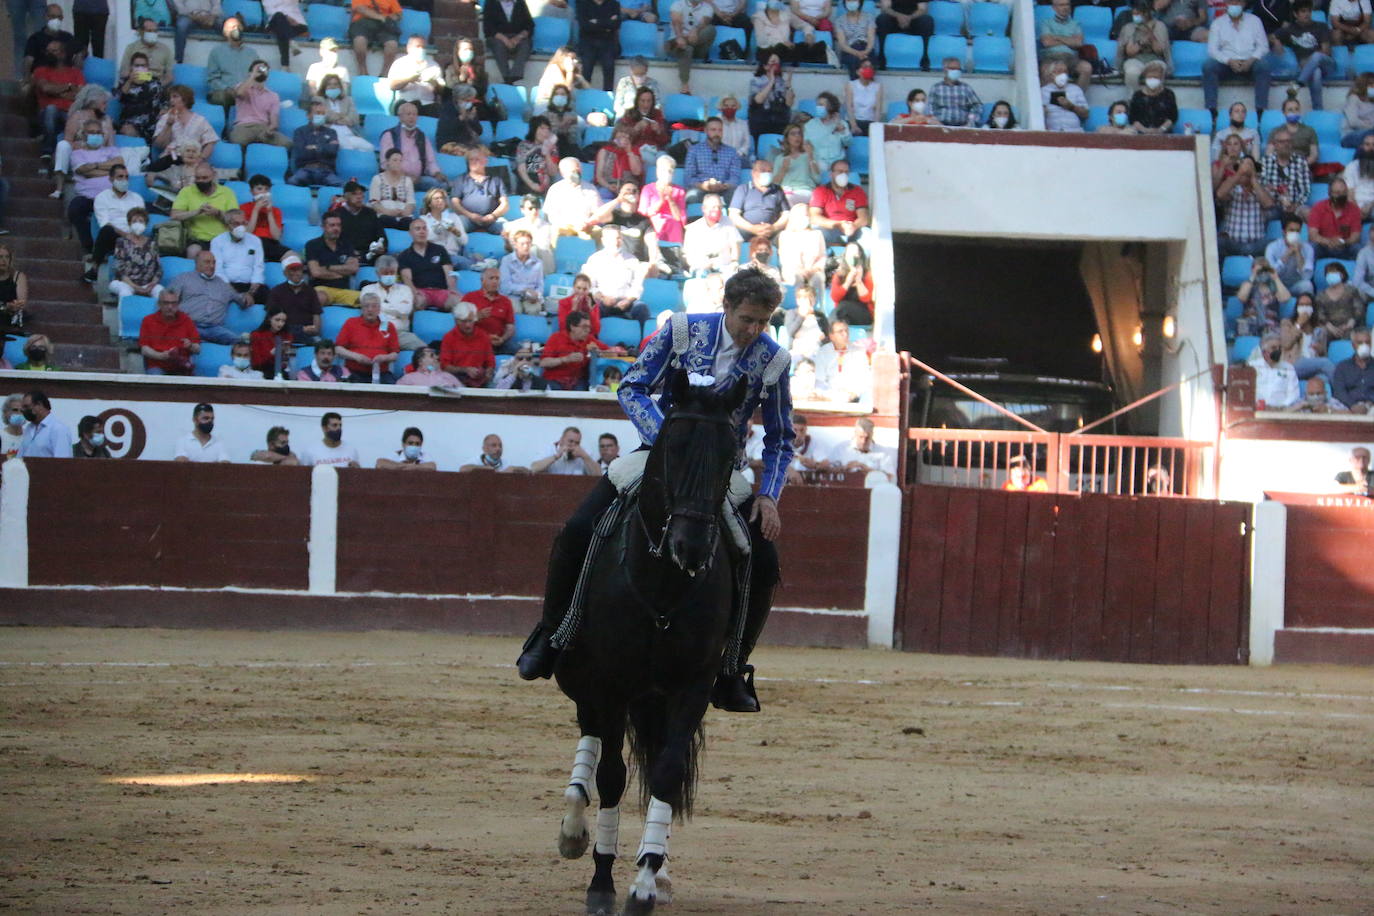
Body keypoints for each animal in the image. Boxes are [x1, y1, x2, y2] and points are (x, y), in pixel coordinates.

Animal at [549, 373, 752, 916]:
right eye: (672, 448)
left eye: (730, 453)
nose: (691, 546)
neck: (663, 586)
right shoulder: (609, 681)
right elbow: (612, 776)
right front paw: (602, 883)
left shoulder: (692, 686)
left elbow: (665, 773)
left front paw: (643, 884)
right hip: (581, 675)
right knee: (591, 735)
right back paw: (573, 829)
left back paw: (655, 871)